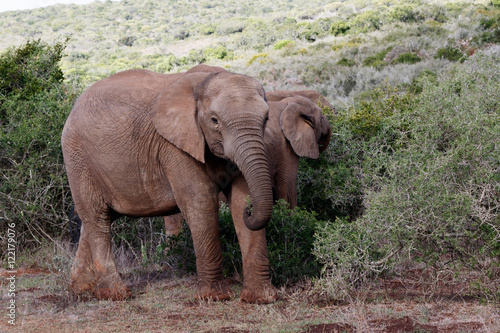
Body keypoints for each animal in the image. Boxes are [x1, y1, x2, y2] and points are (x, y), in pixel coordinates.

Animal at [61, 65, 278, 300]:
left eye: (266, 118)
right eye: (214, 120)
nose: (251, 212)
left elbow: (240, 198)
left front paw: (261, 298)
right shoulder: (174, 146)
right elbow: (200, 199)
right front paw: (214, 297)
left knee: (96, 219)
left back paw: (82, 289)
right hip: (78, 158)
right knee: (97, 218)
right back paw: (117, 294)